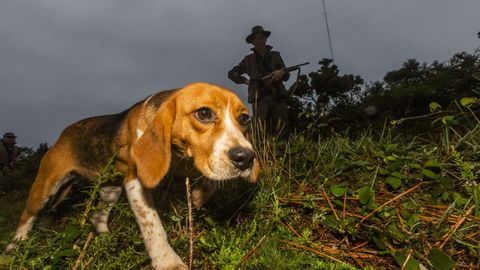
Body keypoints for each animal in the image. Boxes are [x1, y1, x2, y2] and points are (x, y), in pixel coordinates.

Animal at [6, 83, 258, 270]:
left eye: (244, 119)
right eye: (204, 113)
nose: (246, 158)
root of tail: (64, 133)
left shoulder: (189, 162)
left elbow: (210, 179)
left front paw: (197, 197)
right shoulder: (135, 183)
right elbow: (153, 225)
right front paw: (168, 261)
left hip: (110, 190)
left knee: (98, 215)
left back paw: (105, 238)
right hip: (46, 184)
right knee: (27, 215)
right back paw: (14, 247)